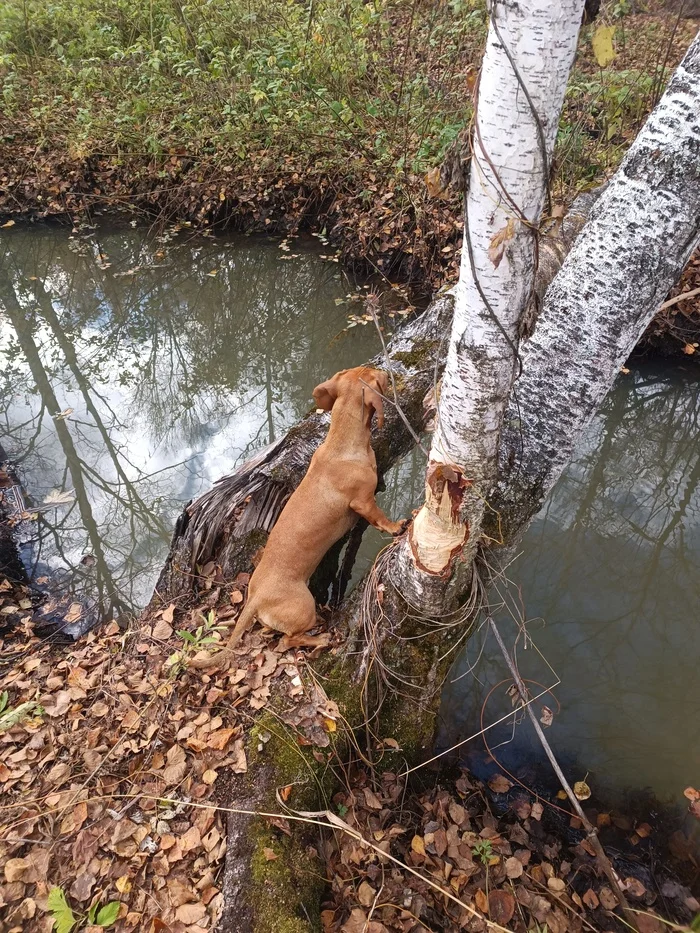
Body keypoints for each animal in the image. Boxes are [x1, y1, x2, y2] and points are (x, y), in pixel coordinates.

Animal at [190, 366, 404, 668]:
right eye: (375, 374)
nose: (387, 370)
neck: (342, 445)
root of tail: (255, 599)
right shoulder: (363, 501)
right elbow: (380, 518)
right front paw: (396, 526)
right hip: (306, 608)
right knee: (288, 641)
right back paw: (321, 639)